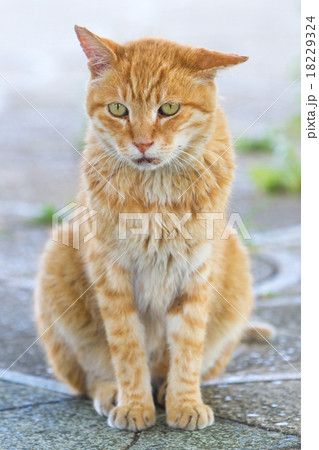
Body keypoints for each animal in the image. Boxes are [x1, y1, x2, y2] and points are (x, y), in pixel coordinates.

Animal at [35, 25, 254, 432]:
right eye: (118, 109)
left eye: (168, 109)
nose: (141, 142)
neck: (156, 197)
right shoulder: (113, 275)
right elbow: (126, 348)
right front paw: (134, 405)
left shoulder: (196, 272)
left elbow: (188, 346)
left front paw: (185, 401)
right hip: (58, 261)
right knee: (89, 376)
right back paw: (112, 393)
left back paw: (166, 389)